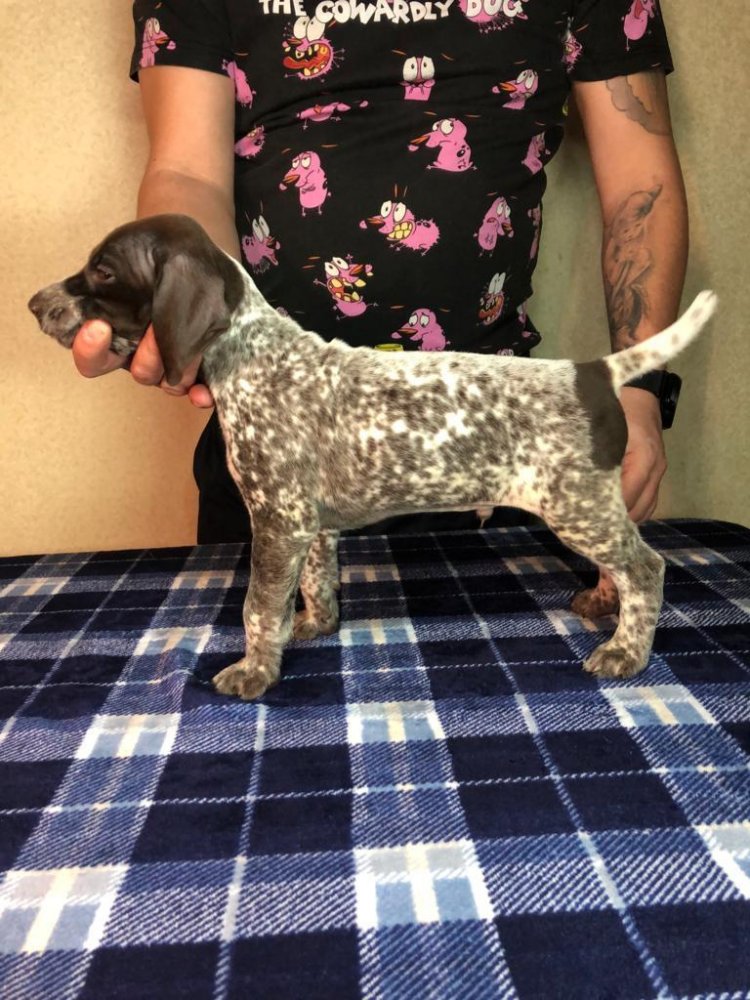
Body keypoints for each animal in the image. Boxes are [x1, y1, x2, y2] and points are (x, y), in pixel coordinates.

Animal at [28, 214, 717, 700]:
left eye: (104, 272)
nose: (35, 303)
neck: (250, 354)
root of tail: (593, 372)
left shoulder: (277, 520)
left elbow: (258, 606)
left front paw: (255, 670)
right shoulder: (309, 525)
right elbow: (312, 582)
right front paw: (312, 625)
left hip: (575, 506)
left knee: (646, 567)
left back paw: (628, 650)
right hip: (590, 504)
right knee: (621, 564)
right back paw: (604, 603)